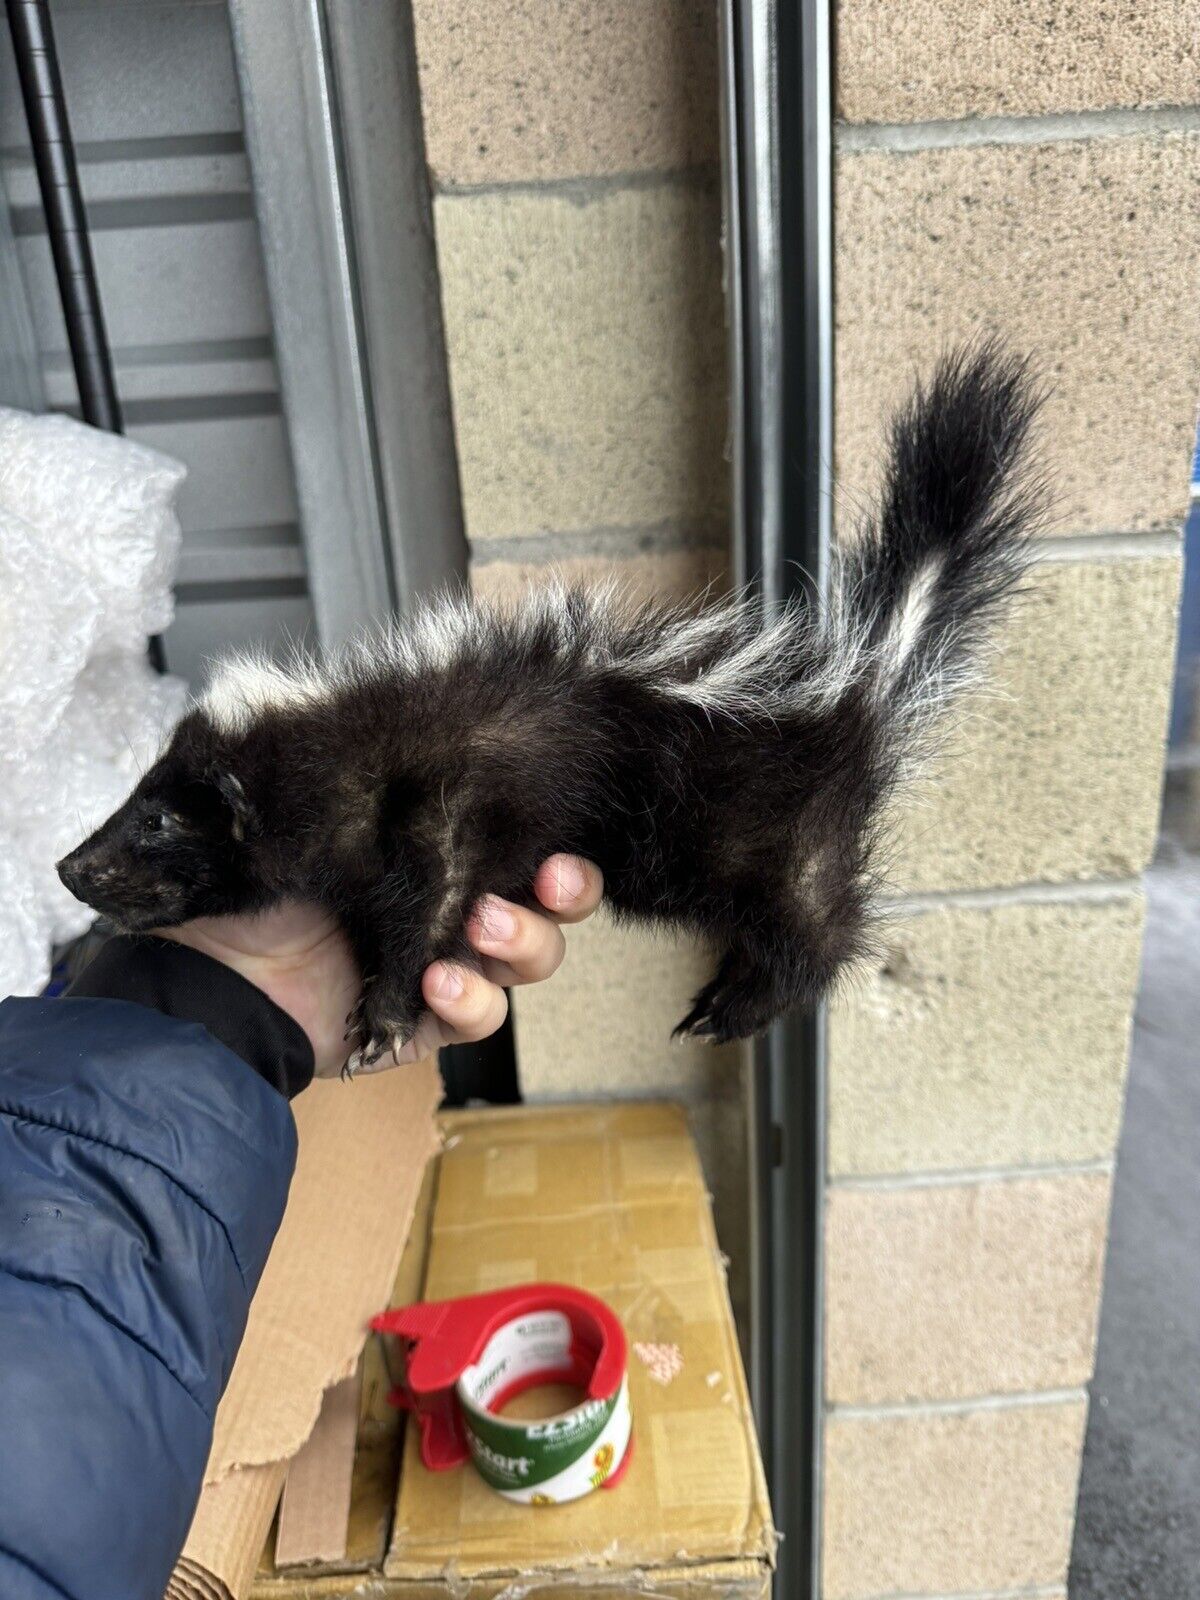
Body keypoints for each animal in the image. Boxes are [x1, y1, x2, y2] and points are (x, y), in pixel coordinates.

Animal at [61, 340, 1043, 1062]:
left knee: (817, 929)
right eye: (136, 803)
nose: (73, 867)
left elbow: (430, 908)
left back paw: (732, 1007)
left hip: (770, 839)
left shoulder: (447, 810)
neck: (350, 746)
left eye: (160, 821)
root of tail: (857, 692)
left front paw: (381, 1020)